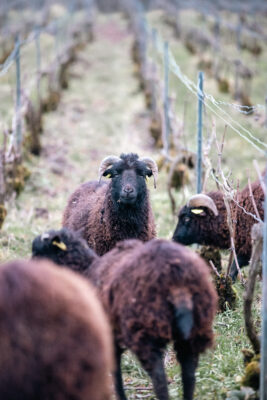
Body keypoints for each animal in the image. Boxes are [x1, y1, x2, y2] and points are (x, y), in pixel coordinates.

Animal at [32, 228, 219, 400]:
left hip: (145, 331)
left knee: (159, 378)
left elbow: (115, 371)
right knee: (189, 375)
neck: (85, 269)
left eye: (38, 252)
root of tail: (177, 282)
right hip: (196, 329)